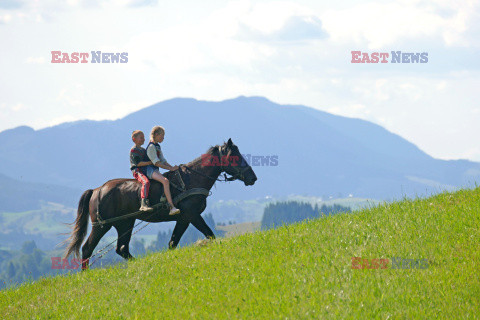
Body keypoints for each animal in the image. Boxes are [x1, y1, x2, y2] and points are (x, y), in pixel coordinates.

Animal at [66, 139, 258, 268]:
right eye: (234, 156)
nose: (252, 178)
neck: (191, 179)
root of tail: (97, 190)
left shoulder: (184, 219)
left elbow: (173, 243)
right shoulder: (192, 216)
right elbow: (209, 234)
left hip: (125, 223)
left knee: (122, 248)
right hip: (102, 225)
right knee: (87, 248)